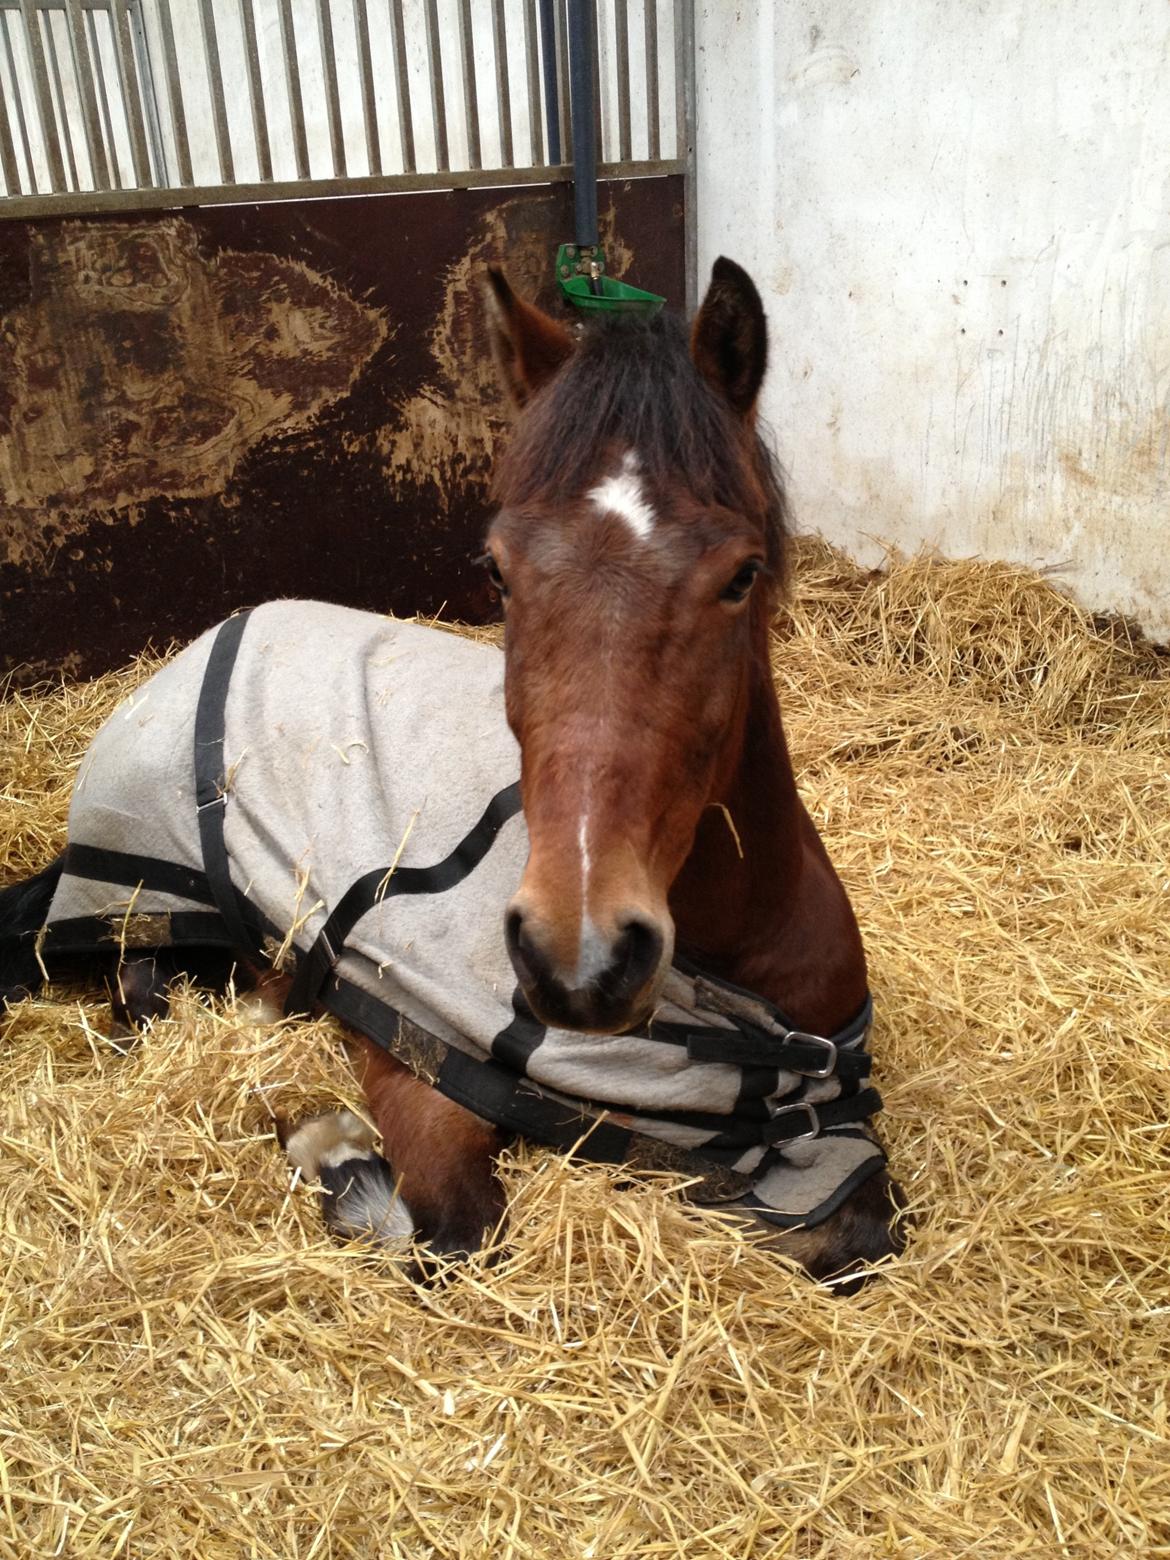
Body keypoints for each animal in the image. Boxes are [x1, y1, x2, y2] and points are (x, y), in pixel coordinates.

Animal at [0, 258, 904, 1291]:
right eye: (499, 572)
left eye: (742, 574)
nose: (579, 959)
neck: (731, 990)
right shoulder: (416, 1070)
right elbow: (456, 1231)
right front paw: (328, 1141)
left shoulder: (824, 1144)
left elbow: (856, 1236)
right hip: (148, 904)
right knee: (143, 990)